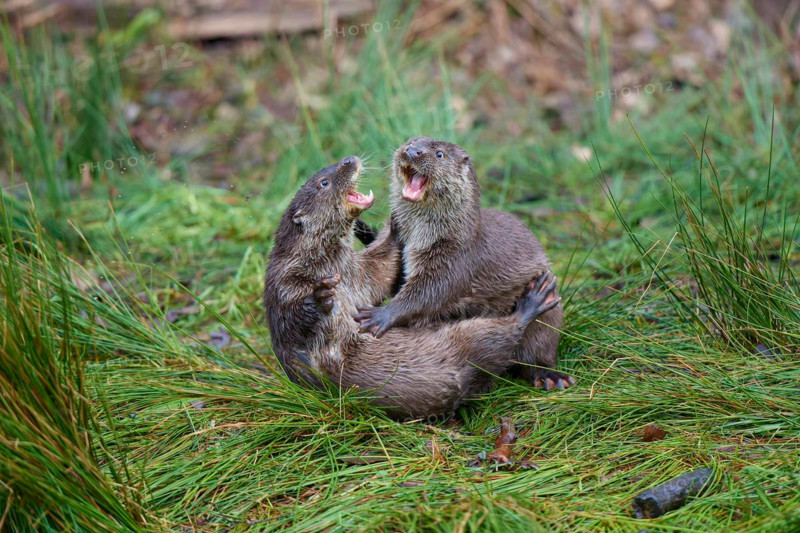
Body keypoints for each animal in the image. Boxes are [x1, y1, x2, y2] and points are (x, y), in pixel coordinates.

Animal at [263, 156, 560, 418]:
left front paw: (396, 224)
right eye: (324, 182)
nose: (349, 159)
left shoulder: (354, 276)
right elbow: (293, 327)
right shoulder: (284, 287)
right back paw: (535, 300)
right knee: (505, 332)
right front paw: (318, 297)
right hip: (472, 338)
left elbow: (377, 276)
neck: (318, 265)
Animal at [354, 137, 574, 391]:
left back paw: (550, 375)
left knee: (540, 346)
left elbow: (426, 295)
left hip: (549, 314)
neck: (425, 237)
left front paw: (380, 315)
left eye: (439, 154)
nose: (411, 151)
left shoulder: (455, 260)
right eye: (411, 141)